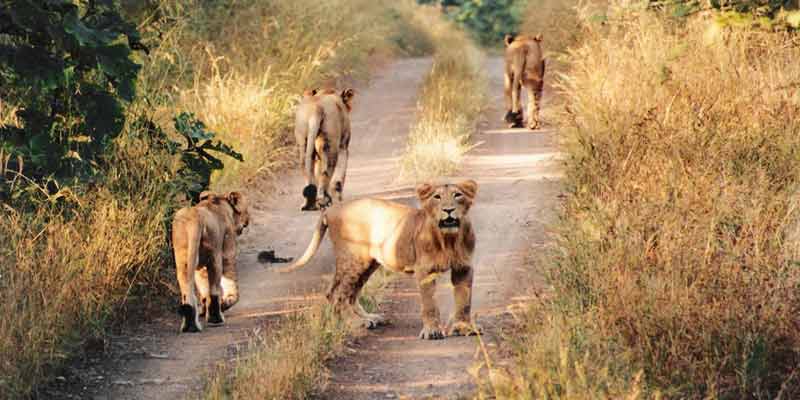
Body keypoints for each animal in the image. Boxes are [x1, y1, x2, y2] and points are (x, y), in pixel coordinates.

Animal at [173, 191, 248, 332]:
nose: (247, 221)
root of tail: (193, 218)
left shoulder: (200, 266)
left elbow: (203, 288)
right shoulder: (228, 251)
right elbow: (230, 281)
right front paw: (226, 303)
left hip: (182, 255)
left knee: (187, 289)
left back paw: (190, 325)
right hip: (214, 255)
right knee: (214, 289)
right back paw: (216, 318)